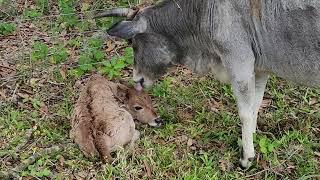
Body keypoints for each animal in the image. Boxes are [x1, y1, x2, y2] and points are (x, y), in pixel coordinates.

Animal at [95, 0, 320, 168]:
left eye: (132, 43)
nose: (136, 79)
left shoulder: (239, 63)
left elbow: (245, 113)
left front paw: (246, 157)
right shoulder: (259, 69)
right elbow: (255, 107)